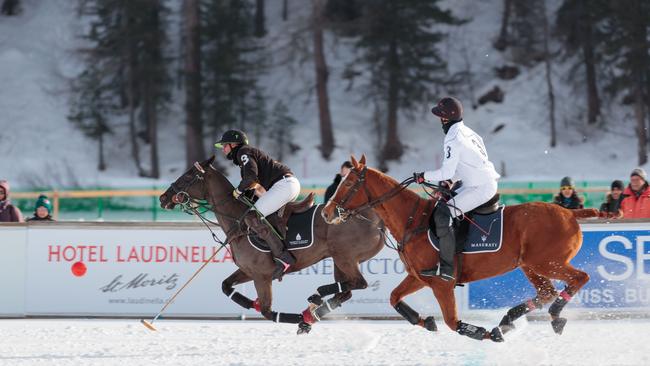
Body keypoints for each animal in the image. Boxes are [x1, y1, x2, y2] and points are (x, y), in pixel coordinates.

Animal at [160, 156, 384, 334]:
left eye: (188, 176)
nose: (163, 198)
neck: (238, 223)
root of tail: (375, 219)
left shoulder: (262, 276)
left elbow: (268, 312)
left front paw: (300, 319)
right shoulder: (249, 271)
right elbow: (226, 286)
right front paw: (253, 304)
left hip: (345, 257)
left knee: (359, 283)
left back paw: (313, 305)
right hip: (340, 260)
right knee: (346, 291)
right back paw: (314, 308)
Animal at [320, 155, 596, 344]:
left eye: (349, 183)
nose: (326, 213)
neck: (413, 221)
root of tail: (570, 213)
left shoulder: (442, 283)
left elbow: (453, 322)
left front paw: (483, 332)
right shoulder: (419, 277)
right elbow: (394, 298)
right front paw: (426, 321)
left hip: (547, 262)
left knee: (580, 278)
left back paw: (552, 316)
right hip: (530, 265)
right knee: (547, 292)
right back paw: (508, 321)